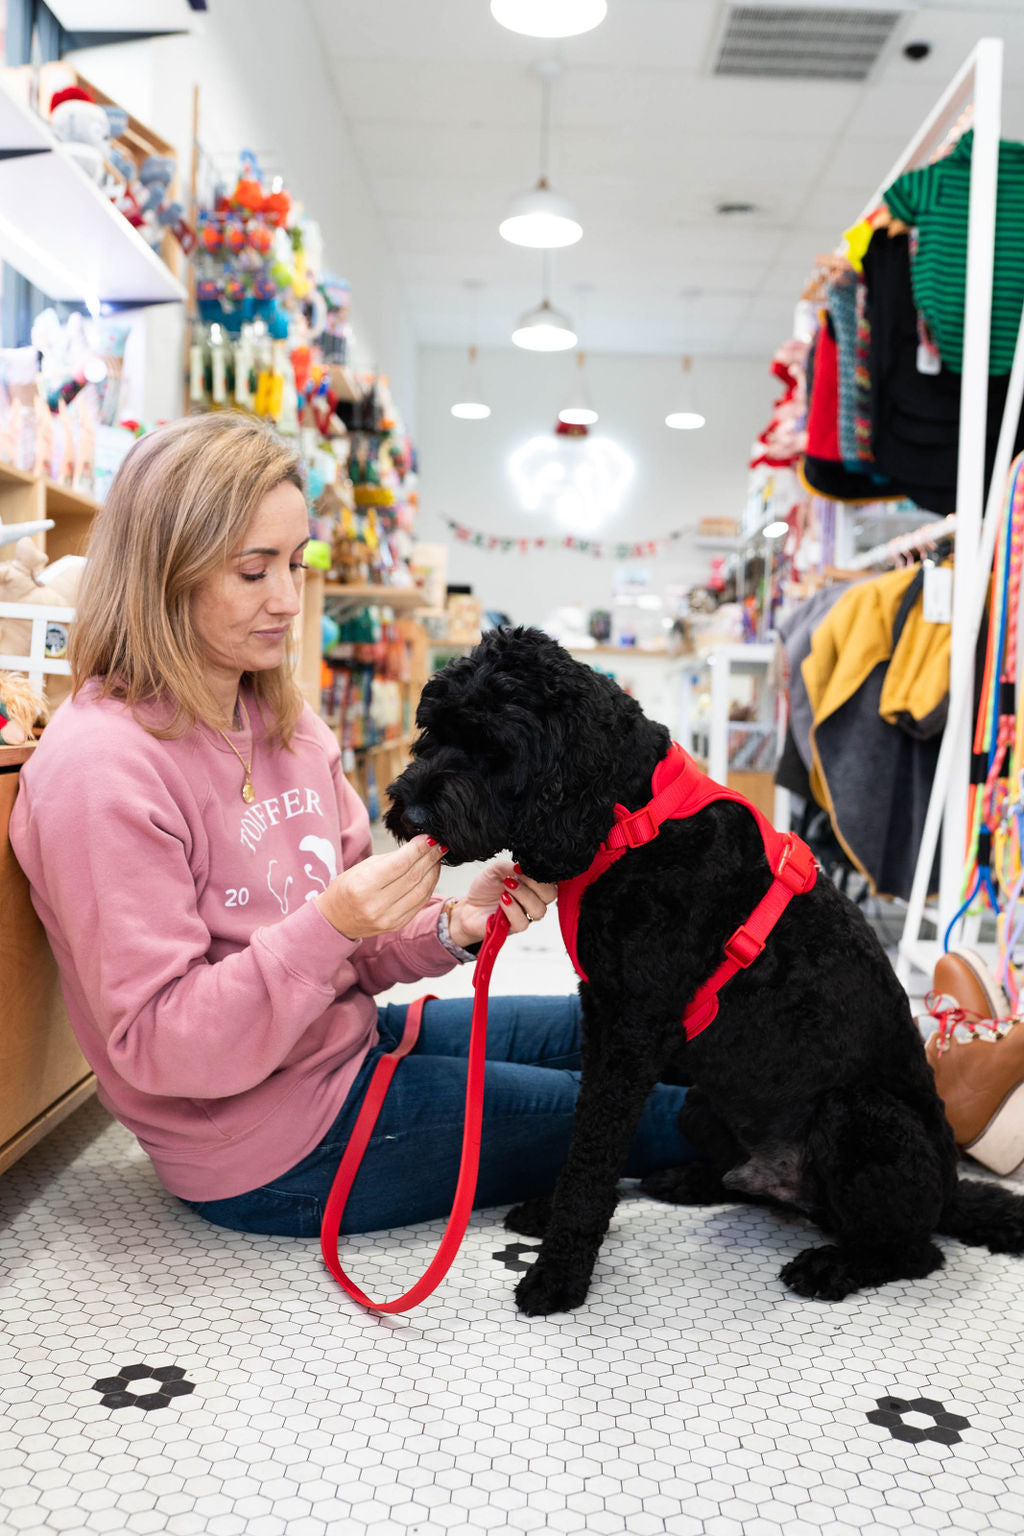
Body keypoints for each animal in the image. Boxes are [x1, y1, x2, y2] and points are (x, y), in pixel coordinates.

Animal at [382, 629, 1024, 1314]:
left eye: (493, 748)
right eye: (433, 732)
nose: (410, 812)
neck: (634, 819)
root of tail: (952, 1190)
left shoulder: (634, 1030)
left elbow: (593, 1151)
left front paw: (559, 1272)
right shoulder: (602, 1012)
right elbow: (587, 1136)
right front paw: (554, 1218)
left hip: (861, 1115)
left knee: (915, 1251)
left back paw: (832, 1265)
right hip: (700, 1103)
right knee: (745, 1184)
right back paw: (685, 1179)